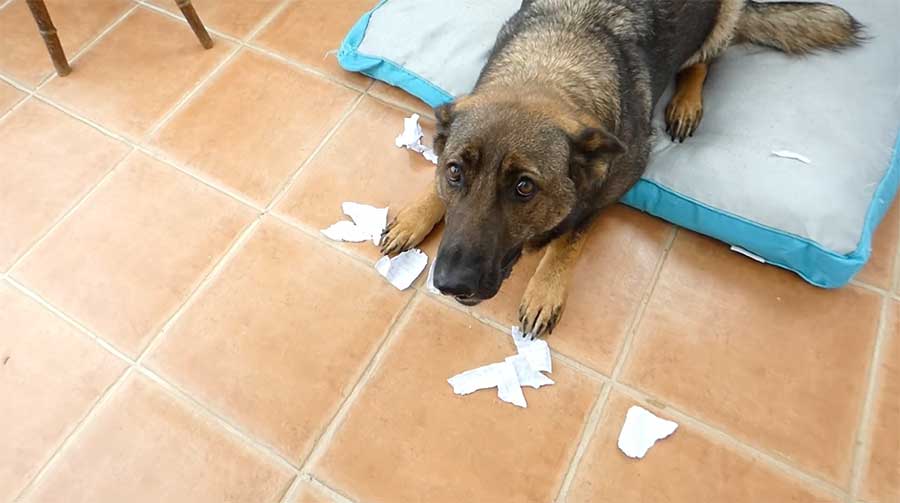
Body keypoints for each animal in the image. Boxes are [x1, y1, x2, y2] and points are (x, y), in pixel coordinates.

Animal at [376, 0, 860, 338]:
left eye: (524, 187)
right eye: (455, 172)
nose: (450, 284)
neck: (549, 70)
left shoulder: (615, 183)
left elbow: (570, 235)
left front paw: (544, 287)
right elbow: (434, 189)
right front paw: (416, 215)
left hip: (721, 20)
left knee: (704, 62)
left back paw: (686, 101)